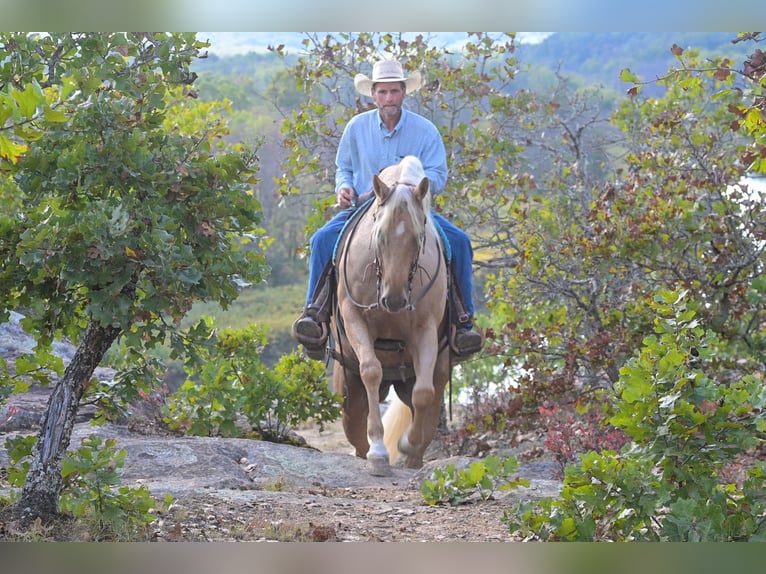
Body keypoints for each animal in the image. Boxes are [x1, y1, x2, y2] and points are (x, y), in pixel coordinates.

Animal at [331, 155, 451, 476]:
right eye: (379, 235)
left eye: (419, 237)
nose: (393, 300)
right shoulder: (355, 319)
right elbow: (371, 370)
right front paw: (379, 452)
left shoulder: (425, 331)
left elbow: (423, 393)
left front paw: (407, 445)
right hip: (348, 392)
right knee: (356, 434)